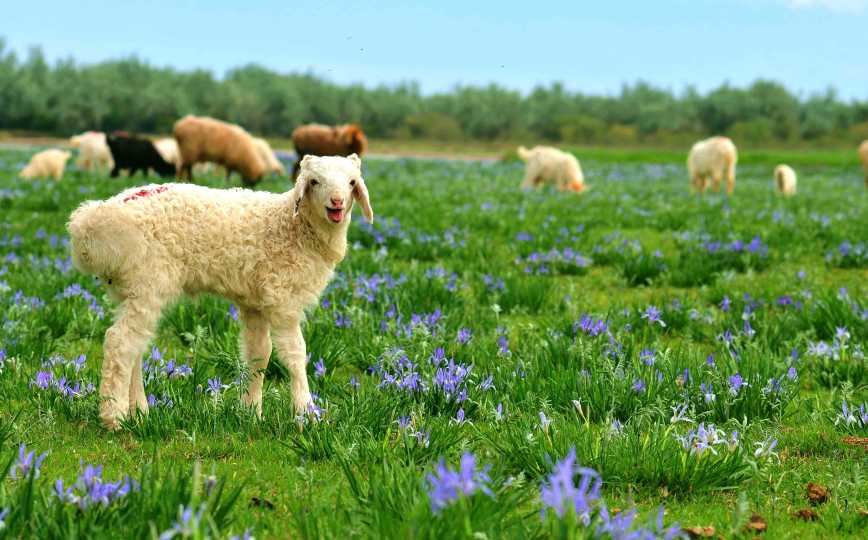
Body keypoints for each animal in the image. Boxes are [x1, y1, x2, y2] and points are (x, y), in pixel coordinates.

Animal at [69, 154, 374, 428]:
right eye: (314, 181)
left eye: (351, 182)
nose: (337, 203)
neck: (293, 226)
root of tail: (89, 224)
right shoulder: (283, 299)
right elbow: (296, 354)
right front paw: (307, 413)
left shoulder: (254, 302)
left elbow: (258, 354)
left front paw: (251, 413)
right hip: (148, 282)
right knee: (120, 342)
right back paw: (114, 416)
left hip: (129, 288)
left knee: (134, 346)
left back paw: (140, 413)